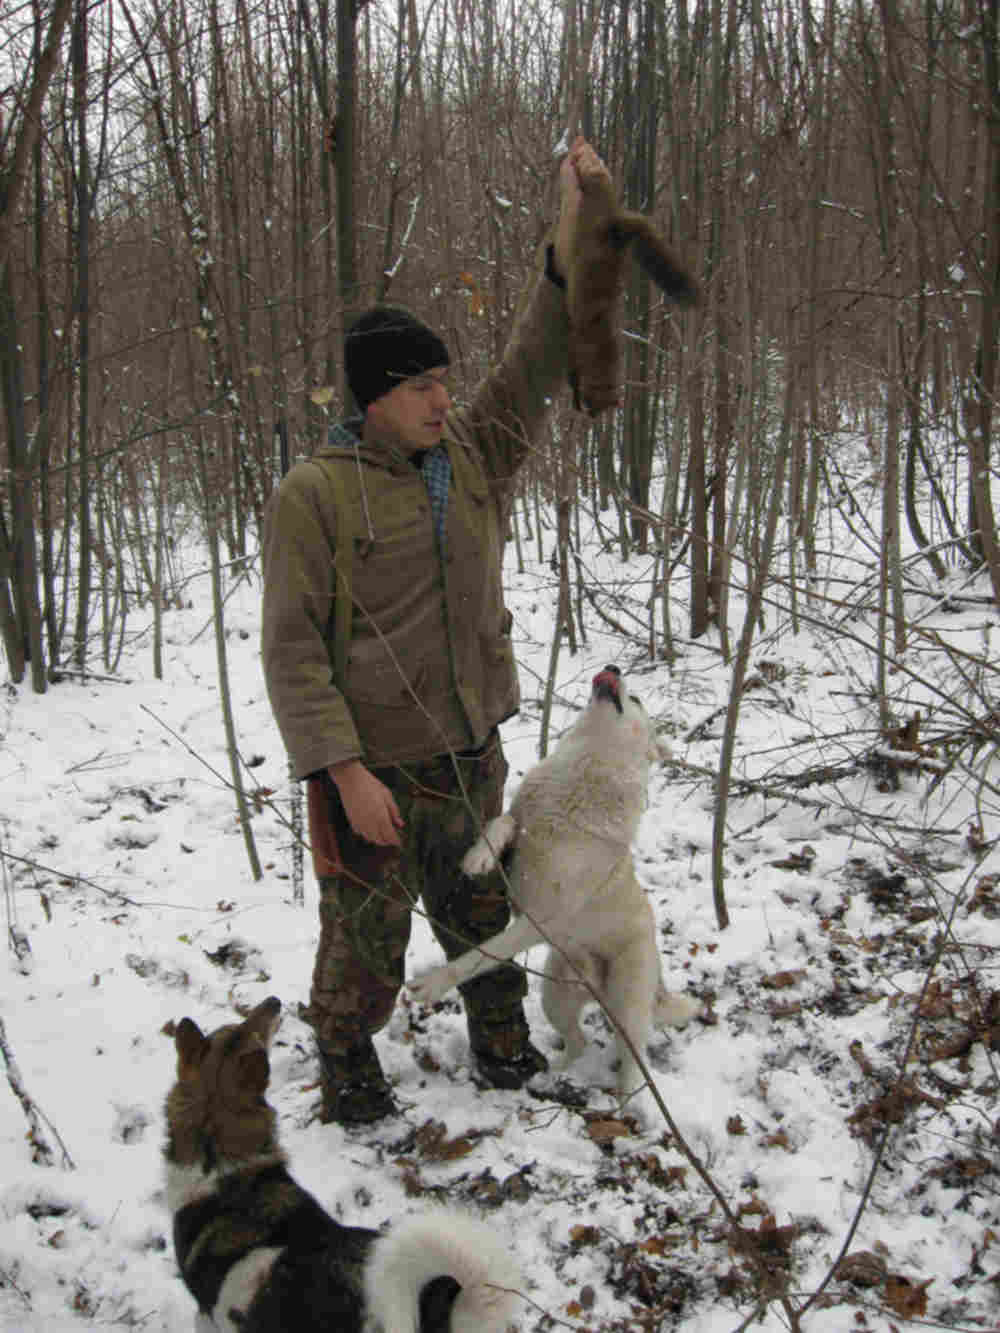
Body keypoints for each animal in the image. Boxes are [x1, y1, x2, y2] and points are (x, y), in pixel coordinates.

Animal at [410, 666, 698, 1125]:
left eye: (635, 700)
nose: (613, 669)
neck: (586, 776)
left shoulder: (537, 921)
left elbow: (478, 957)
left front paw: (431, 985)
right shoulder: (522, 823)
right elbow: (503, 821)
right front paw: (479, 857)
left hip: (629, 1008)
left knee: (633, 1062)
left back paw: (627, 1106)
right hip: (555, 998)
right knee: (578, 1042)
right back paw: (557, 1072)